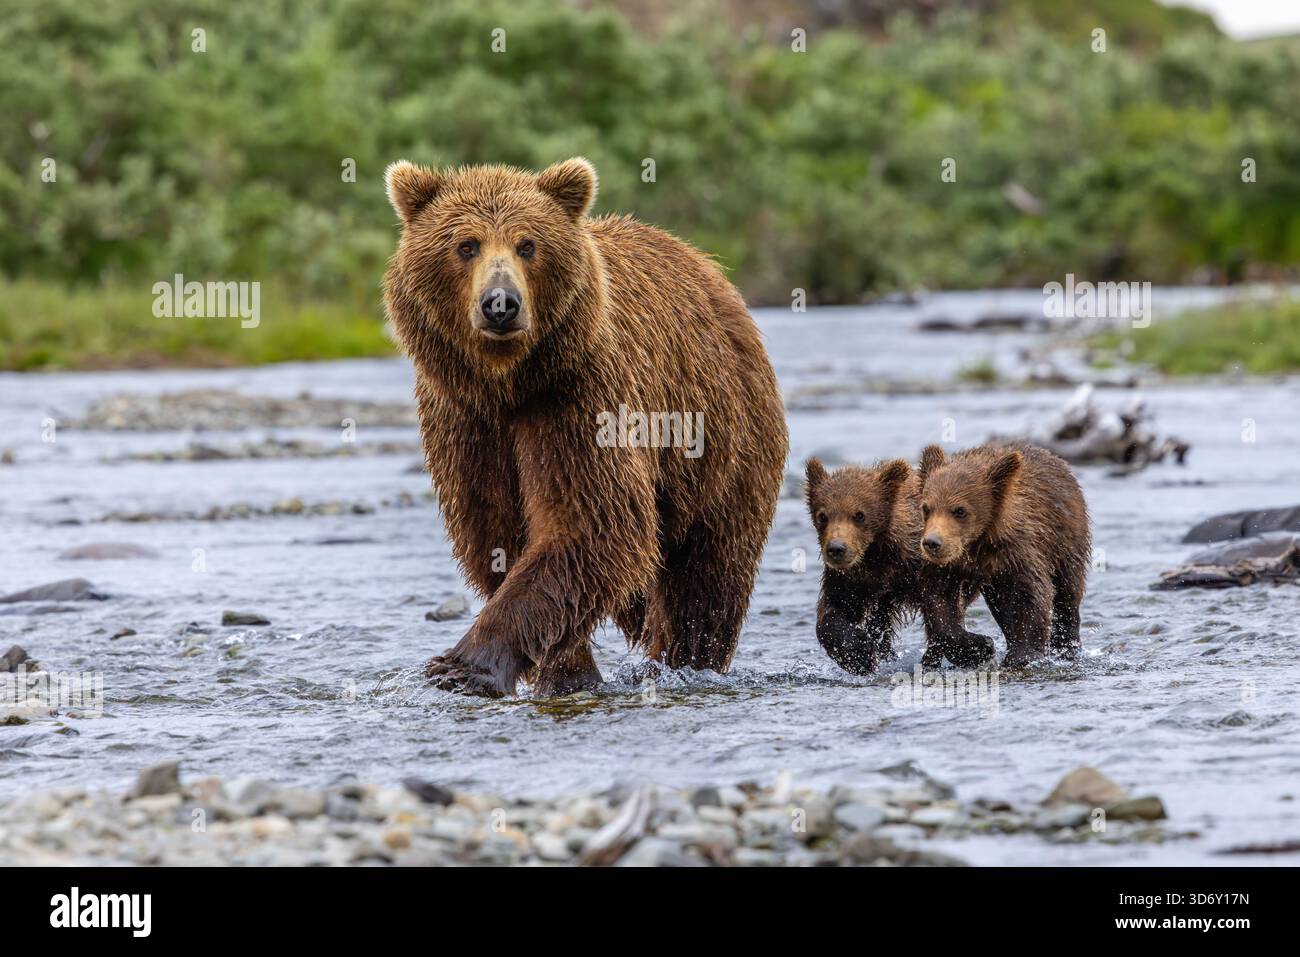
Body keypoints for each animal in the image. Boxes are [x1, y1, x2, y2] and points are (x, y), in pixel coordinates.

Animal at [383, 157, 788, 697]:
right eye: (465, 245)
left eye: (527, 244)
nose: (500, 303)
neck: (508, 384)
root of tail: (712, 274)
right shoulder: (464, 420)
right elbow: (499, 534)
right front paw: (567, 671)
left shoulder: (579, 396)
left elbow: (591, 520)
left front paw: (464, 665)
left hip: (723, 442)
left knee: (706, 578)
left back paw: (683, 661)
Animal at [805, 457, 994, 674]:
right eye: (823, 516)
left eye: (859, 515)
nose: (837, 549)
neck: (878, 556)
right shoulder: (852, 578)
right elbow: (833, 610)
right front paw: (860, 655)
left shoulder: (925, 566)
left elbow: (941, 608)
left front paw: (980, 647)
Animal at [916, 442, 1091, 667]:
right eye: (926, 508)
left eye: (960, 510)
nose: (932, 543)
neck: (977, 546)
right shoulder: (948, 567)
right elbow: (938, 601)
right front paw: (978, 647)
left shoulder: (1017, 552)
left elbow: (1030, 595)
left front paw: (1022, 654)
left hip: (1066, 543)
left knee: (1067, 594)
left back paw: (1066, 647)